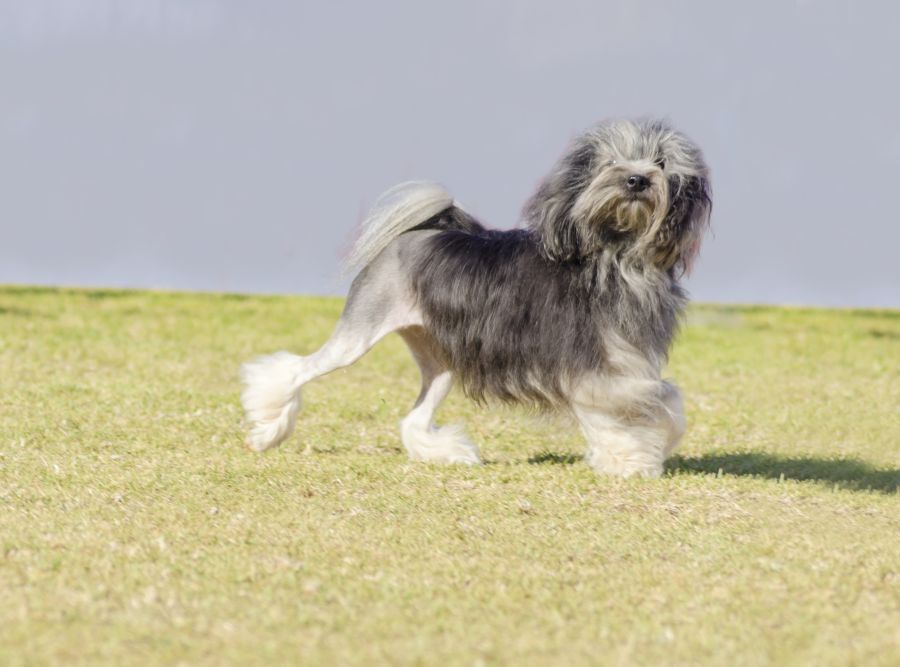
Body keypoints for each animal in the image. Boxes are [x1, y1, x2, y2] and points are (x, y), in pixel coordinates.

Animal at [239, 117, 712, 478]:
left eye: (661, 161)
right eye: (611, 161)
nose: (637, 179)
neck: (616, 255)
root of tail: (415, 234)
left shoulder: (620, 364)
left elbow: (661, 398)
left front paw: (642, 451)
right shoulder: (594, 369)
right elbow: (643, 403)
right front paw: (631, 461)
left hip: (441, 360)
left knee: (413, 418)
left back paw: (449, 453)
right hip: (359, 332)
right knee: (292, 370)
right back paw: (267, 432)